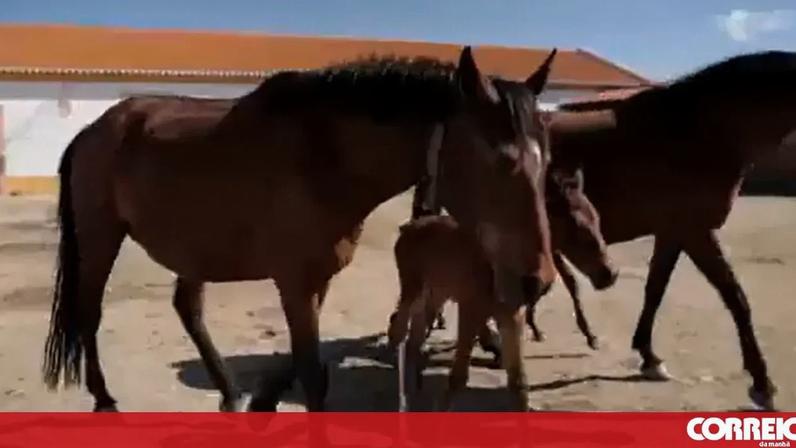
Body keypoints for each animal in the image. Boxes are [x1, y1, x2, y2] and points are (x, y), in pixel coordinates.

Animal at [42, 46, 561, 412]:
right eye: (502, 162)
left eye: (548, 159)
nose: (537, 281)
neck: (324, 153)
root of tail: (92, 131)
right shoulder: (294, 280)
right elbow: (312, 377)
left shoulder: (317, 277)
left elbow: (300, 360)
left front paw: (264, 399)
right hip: (100, 236)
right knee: (89, 311)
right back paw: (104, 397)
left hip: (195, 247)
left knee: (187, 308)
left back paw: (230, 392)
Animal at [387, 160, 617, 410]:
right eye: (576, 226)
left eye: (597, 218)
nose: (610, 274)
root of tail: (407, 228)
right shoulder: (471, 309)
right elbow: (458, 376)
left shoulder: (511, 314)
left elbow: (518, 382)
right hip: (412, 287)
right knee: (400, 331)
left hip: (435, 293)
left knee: (414, 338)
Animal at [540, 51, 796, 410]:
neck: (702, 129)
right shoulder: (695, 231)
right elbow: (735, 298)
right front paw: (762, 383)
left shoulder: (673, 233)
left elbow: (655, 290)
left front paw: (649, 357)